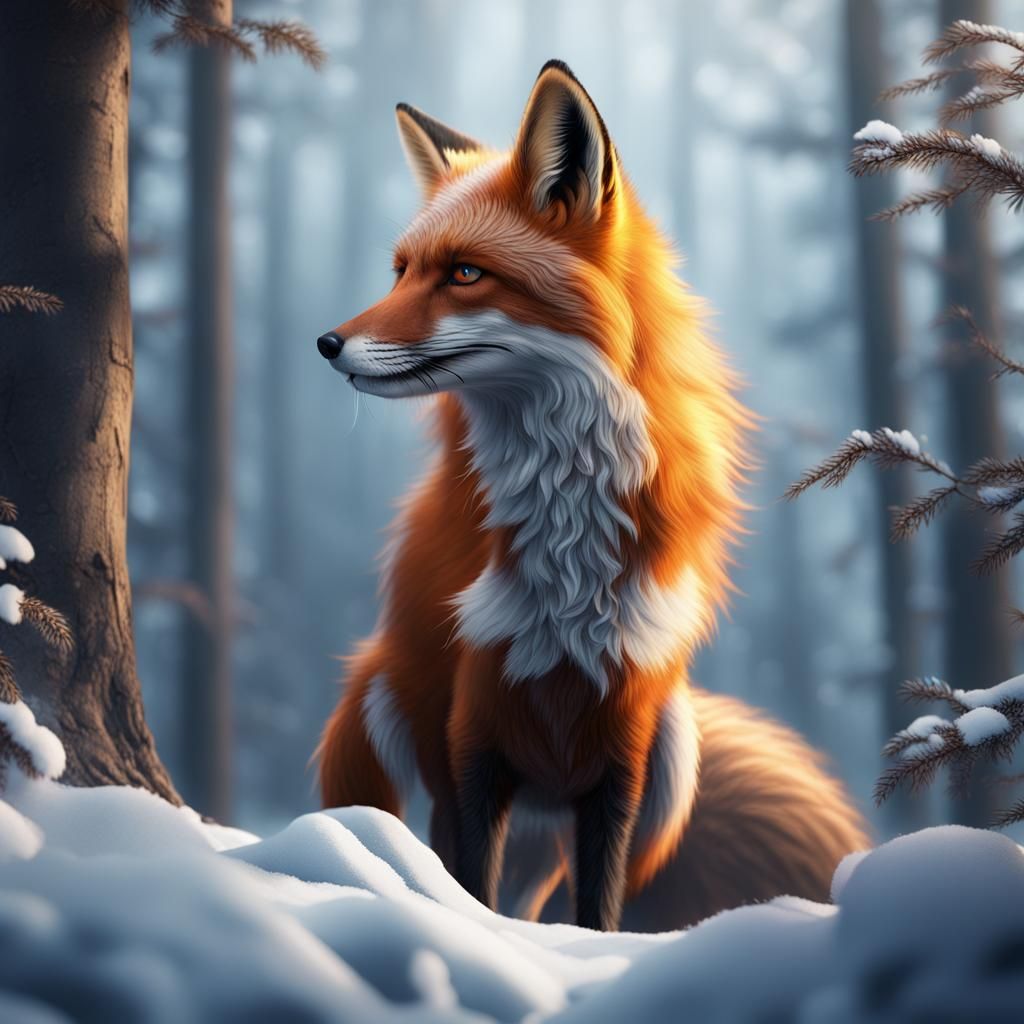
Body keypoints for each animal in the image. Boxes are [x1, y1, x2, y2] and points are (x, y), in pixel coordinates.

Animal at [314, 60, 869, 932]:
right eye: (400, 272)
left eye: (464, 273)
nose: (327, 343)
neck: (564, 532)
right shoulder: (472, 730)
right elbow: (466, 880)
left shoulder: (622, 744)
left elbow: (596, 908)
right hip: (379, 714)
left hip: (674, 757)